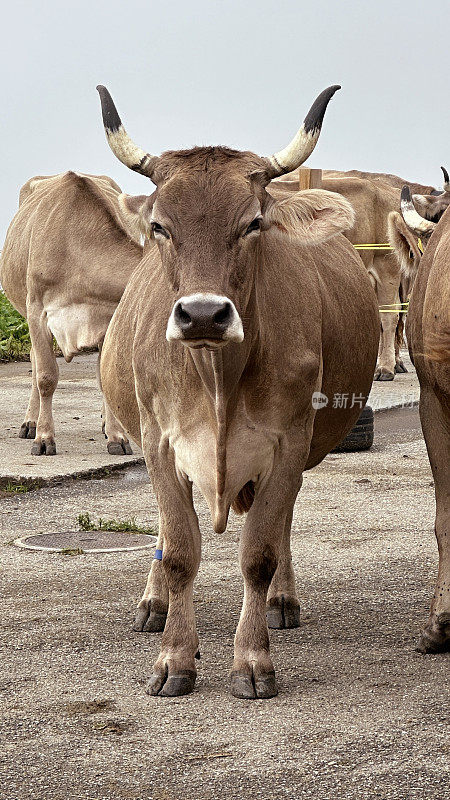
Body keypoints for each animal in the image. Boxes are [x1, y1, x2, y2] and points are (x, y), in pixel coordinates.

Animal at [0, 171, 143, 454]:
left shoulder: (106, 317)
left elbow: (105, 376)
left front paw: (117, 437)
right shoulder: (37, 311)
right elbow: (45, 376)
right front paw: (44, 438)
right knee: (34, 361)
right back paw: (30, 423)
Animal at [96, 84, 380, 700]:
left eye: (253, 223)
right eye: (160, 226)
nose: (203, 314)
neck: (219, 379)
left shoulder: (288, 443)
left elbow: (260, 552)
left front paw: (252, 659)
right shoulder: (160, 444)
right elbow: (180, 552)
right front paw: (174, 657)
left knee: (281, 523)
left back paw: (282, 601)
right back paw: (154, 603)